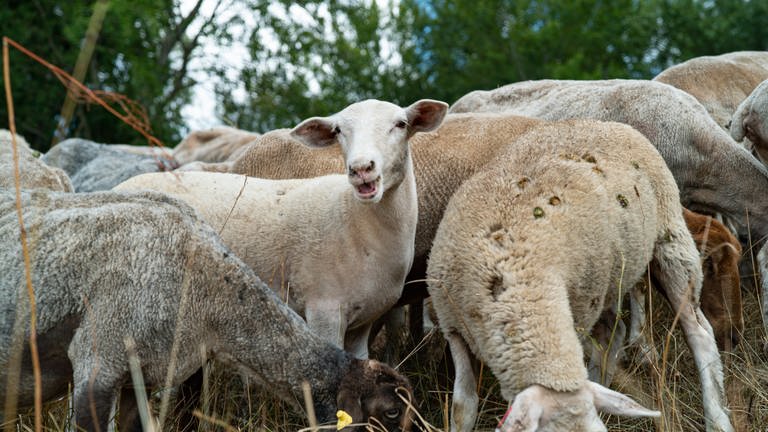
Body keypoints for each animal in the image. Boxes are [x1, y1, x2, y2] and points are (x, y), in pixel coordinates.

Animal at [115, 99, 450, 360]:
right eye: (338, 131)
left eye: (400, 124)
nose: (361, 169)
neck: (355, 220)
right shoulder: (323, 310)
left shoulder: (362, 323)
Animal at [428, 119, 736, 432]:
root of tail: (608, 124)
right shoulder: (454, 329)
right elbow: (463, 407)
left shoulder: (574, 315)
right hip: (608, 277)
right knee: (614, 331)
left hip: (669, 241)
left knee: (699, 334)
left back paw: (718, 419)